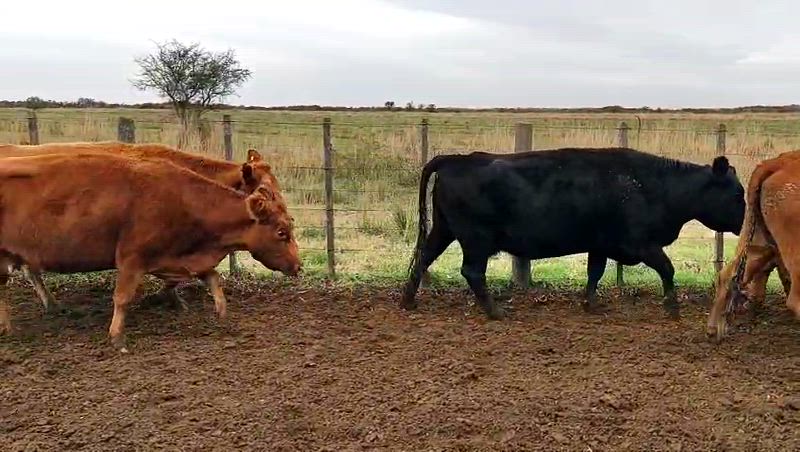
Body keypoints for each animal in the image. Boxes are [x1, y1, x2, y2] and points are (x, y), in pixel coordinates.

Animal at [0, 152, 301, 352]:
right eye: (281, 232)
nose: (298, 266)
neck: (181, 199)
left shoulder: (175, 258)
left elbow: (212, 278)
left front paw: (221, 313)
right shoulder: (132, 259)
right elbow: (122, 298)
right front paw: (117, 338)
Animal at [402, 147, 746, 320]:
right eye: (737, 194)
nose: (746, 222)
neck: (654, 186)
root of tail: (456, 159)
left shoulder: (600, 244)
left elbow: (595, 273)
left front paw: (591, 304)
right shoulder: (640, 244)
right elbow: (667, 268)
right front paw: (672, 308)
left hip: (444, 230)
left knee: (423, 258)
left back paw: (408, 301)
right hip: (476, 239)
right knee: (471, 271)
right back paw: (496, 312)